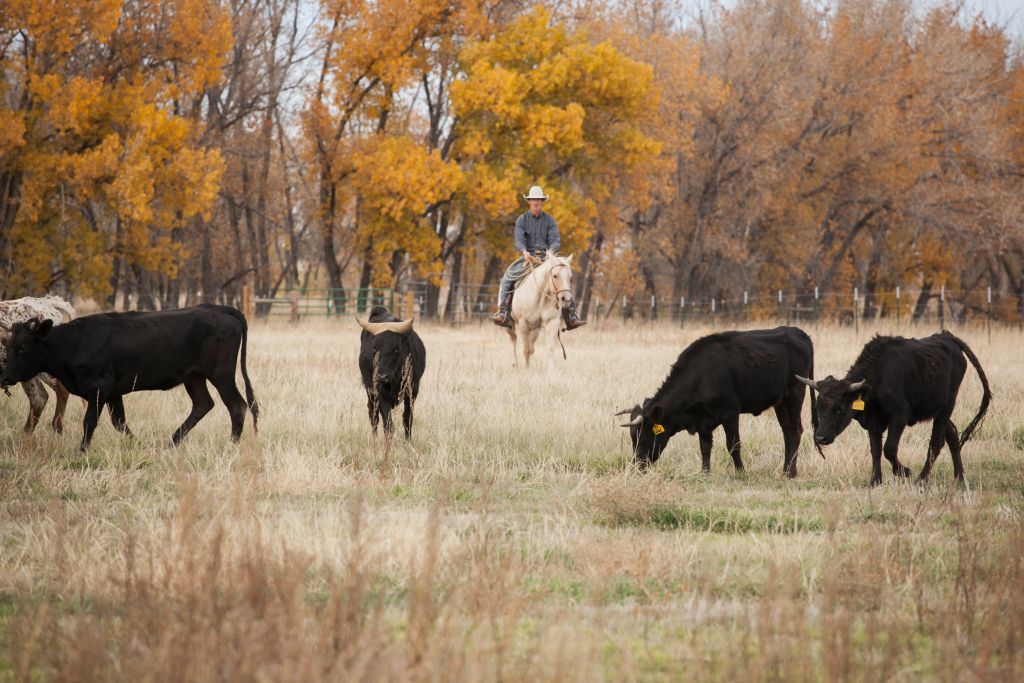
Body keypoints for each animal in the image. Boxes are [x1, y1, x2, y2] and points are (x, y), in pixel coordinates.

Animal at [358, 307, 425, 440]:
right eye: (374, 349)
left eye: (396, 349)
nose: (382, 377)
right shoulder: (380, 393)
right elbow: (388, 424)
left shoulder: (412, 391)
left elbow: (407, 419)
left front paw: (408, 441)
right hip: (370, 391)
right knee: (373, 414)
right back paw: (375, 439)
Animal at [614, 327, 823, 479]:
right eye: (633, 436)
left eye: (644, 434)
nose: (638, 466)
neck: (700, 376)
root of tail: (798, 332)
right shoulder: (703, 420)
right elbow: (705, 447)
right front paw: (705, 473)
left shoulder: (730, 413)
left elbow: (733, 445)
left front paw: (740, 472)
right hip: (781, 402)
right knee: (788, 431)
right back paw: (787, 470)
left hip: (794, 395)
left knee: (794, 431)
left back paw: (789, 473)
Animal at [798, 331, 991, 485]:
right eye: (817, 408)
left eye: (838, 409)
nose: (820, 438)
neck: (877, 377)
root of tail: (948, 337)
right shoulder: (873, 422)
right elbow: (875, 450)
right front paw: (875, 481)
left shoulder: (899, 416)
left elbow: (889, 448)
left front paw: (904, 471)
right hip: (938, 411)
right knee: (951, 434)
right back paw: (960, 477)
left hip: (947, 406)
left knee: (937, 441)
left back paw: (922, 479)